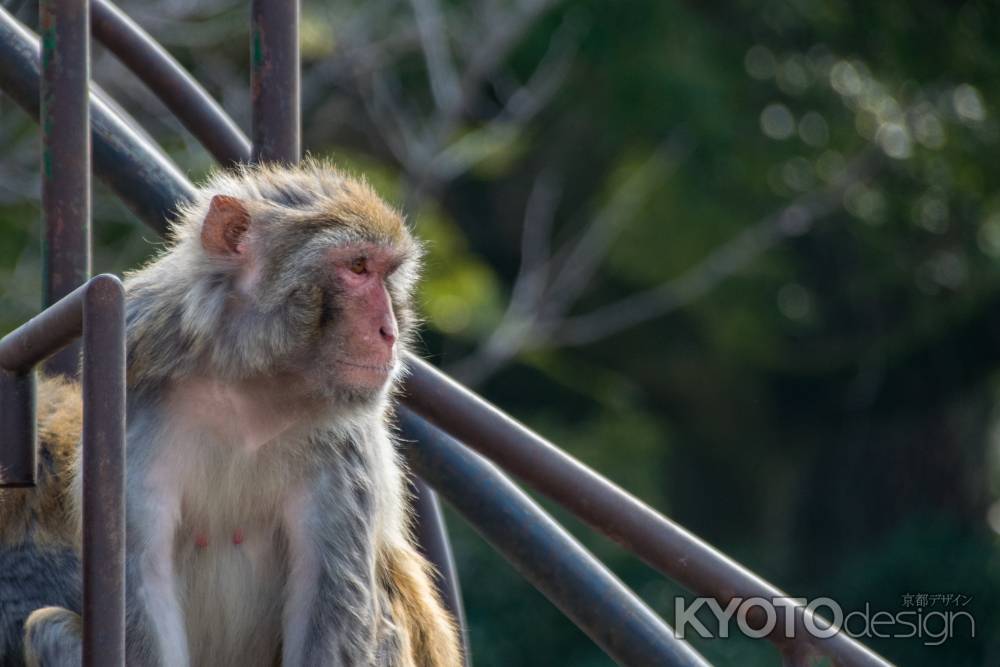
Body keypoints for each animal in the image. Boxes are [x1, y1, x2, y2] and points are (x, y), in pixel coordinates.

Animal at [0, 162, 460, 667]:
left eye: (386, 273)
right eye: (358, 267)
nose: (388, 331)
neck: (249, 384)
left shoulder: (345, 442)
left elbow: (331, 604)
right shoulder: (131, 406)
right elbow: (144, 583)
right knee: (47, 626)